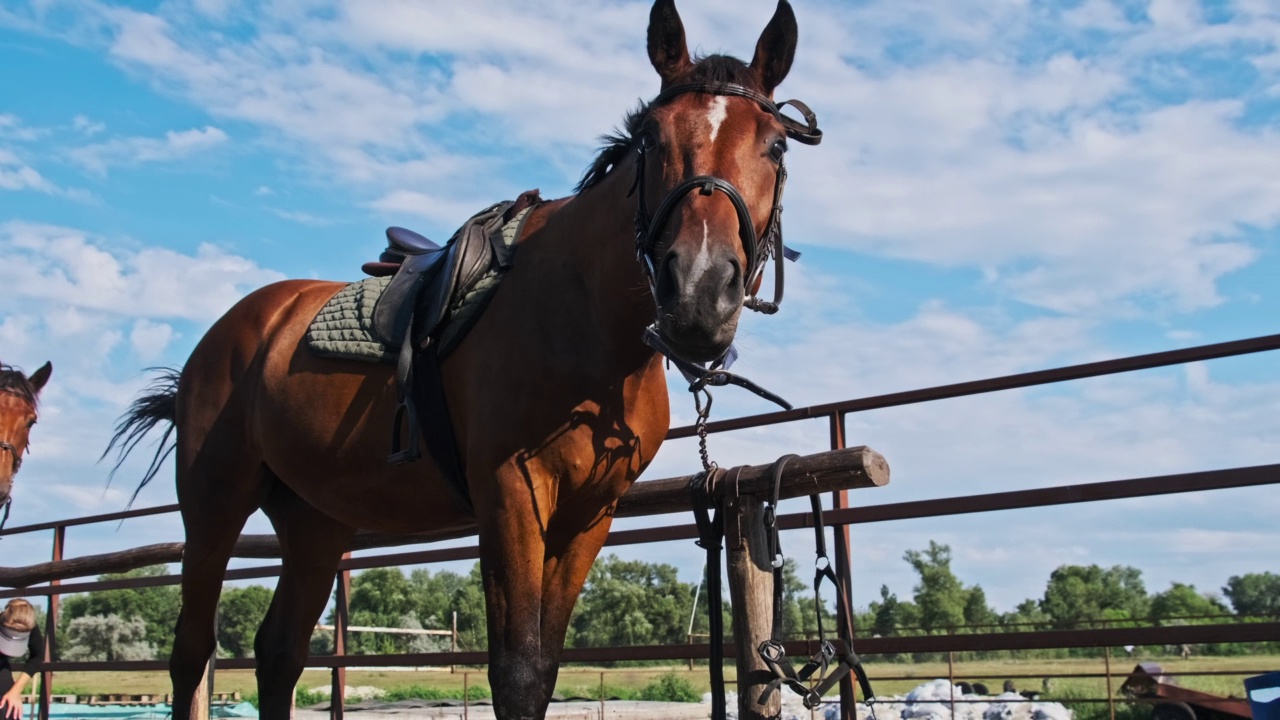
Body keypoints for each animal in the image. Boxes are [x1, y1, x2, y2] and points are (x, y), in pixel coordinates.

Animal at [107, 2, 808, 712]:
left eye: (775, 145)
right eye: (651, 140)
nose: (698, 291)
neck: (586, 321)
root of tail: (235, 329)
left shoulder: (589, 515)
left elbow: (544, 666)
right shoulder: (511, 498)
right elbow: (517, 671)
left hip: (313, 525)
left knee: (278, 654)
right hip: (213, 507)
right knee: (192, 653)